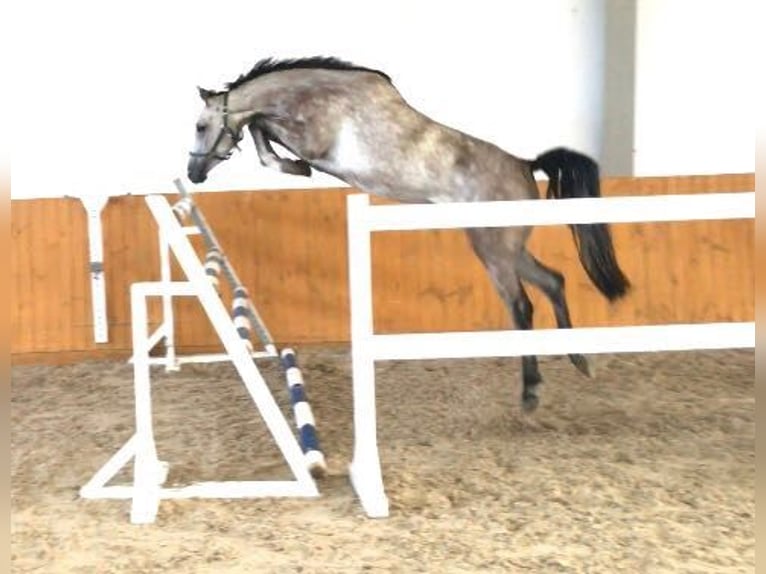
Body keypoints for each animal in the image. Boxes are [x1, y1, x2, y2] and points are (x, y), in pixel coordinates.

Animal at [187, 56, 630, 411]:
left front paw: (293, 166)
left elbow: (261, 125)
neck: (320, 96)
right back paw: (578, 361)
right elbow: (260, 129)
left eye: (201, 126)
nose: (193, 174)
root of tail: (526, 165)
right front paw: (290, 166)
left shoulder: (315, 141)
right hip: (506, 248)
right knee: (553, 281)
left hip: (492, 250)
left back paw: (531, 392)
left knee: (522, 306)